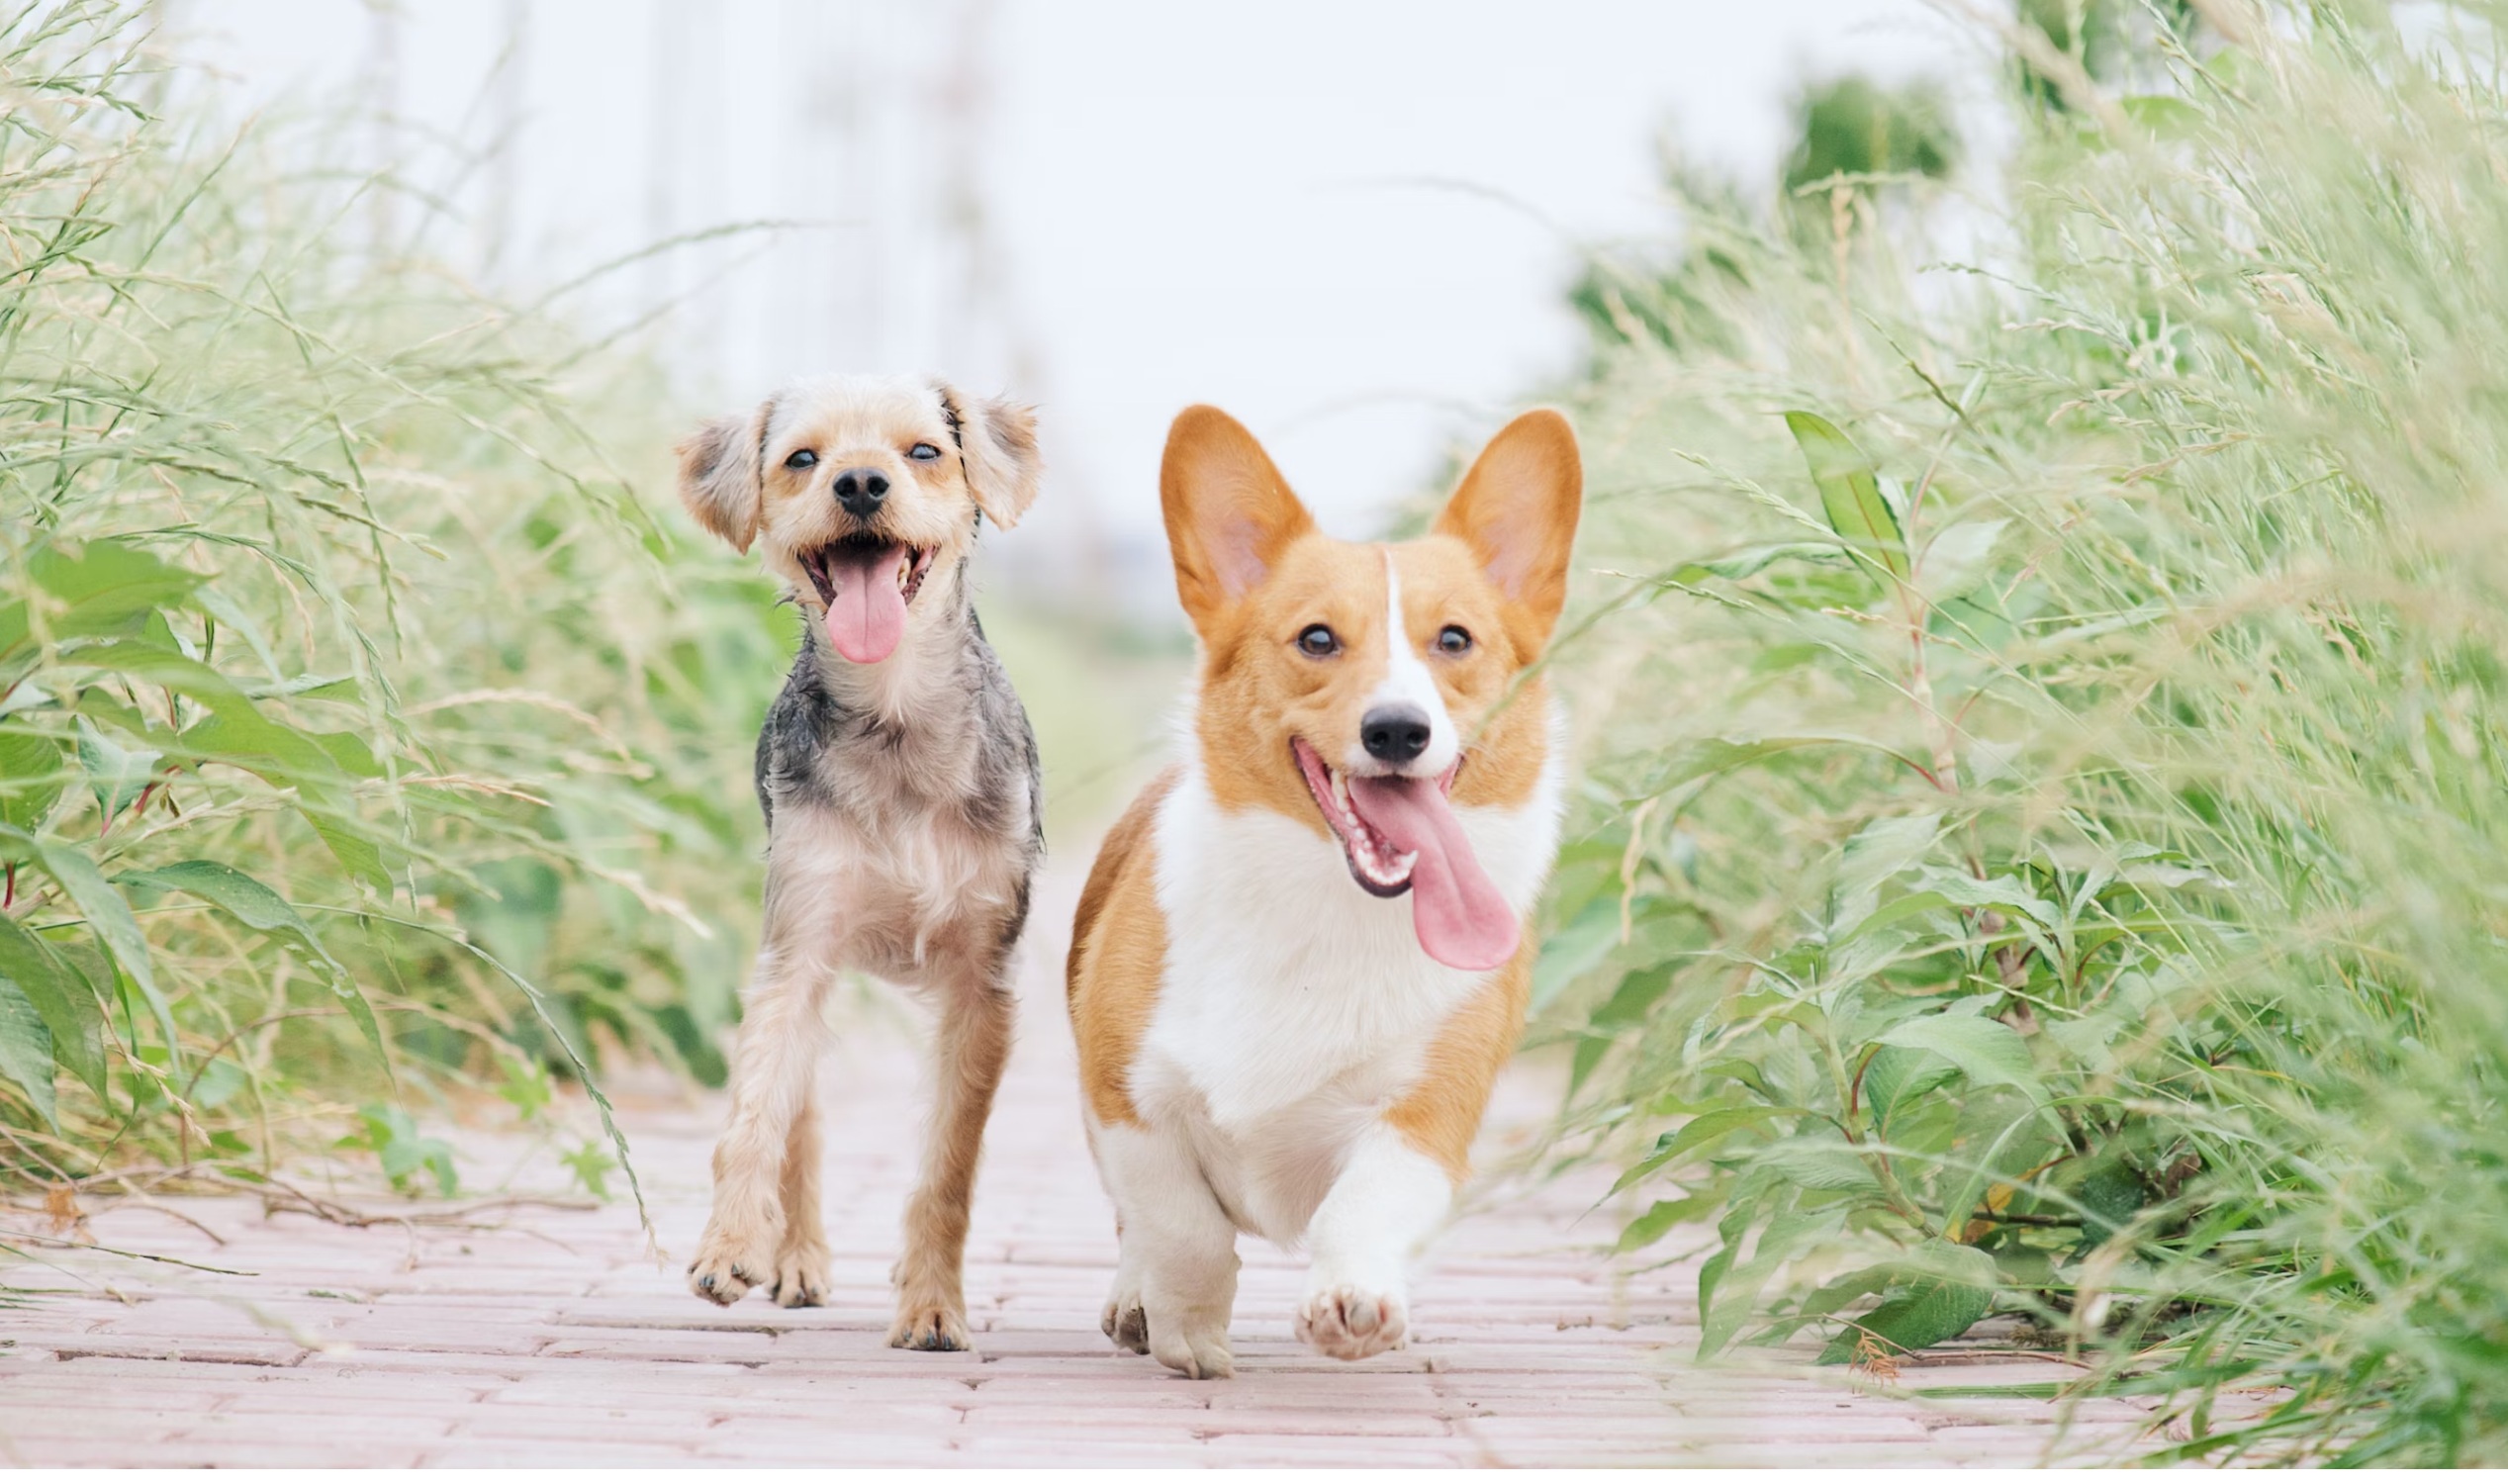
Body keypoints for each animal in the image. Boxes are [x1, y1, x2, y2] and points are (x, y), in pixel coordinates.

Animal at [672, 368, 1043, 1344]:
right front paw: (731, 1243)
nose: (862, 483)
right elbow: (754, 1116)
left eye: (924, 451)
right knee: (799, 1118)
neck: (895, 710)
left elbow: (949, 1165)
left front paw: (932, 1305)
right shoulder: (796, 944)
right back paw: (792, 1257)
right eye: (803, 459)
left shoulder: (980, 984)